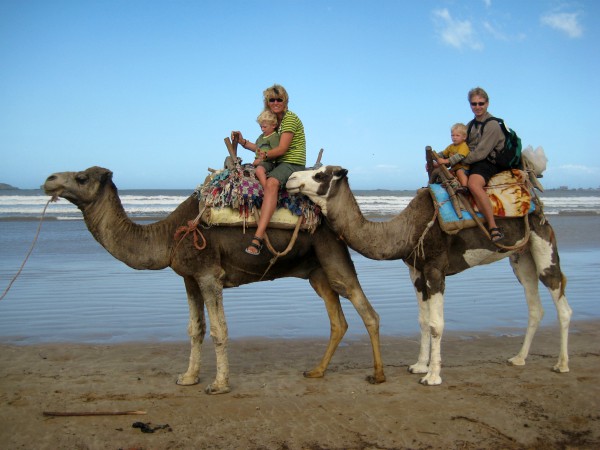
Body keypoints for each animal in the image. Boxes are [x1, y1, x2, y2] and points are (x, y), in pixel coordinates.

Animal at [44, 166, 386, 394]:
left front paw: (219, 384)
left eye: (81, 177)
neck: (168, 235)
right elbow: (195, 329)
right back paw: (316, 371)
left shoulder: (209, 275)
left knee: (366, 309)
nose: (49, 180)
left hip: (334, 256)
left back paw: (378, 375)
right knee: (337, 319)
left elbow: (219, 331)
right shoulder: (189, 277)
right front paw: (187, 377)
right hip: (316, 271)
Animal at [288, 167, 576, 384]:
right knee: (534, 304)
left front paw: (433, 376)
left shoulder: (436, 269)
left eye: (320, 174)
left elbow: (437, 324)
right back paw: (518, 358)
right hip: (520, 257)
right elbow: (423, 321)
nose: (291, 179)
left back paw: (562, 364)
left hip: (543, 243)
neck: (407, 229)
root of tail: (536, 204)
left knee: (560, 297)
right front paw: (418, 366)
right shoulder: (416, 271)